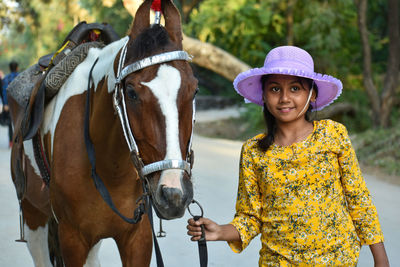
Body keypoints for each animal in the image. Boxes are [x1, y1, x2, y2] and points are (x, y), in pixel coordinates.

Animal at [7, 1, 198, 266]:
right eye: (131, 92)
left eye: (194, 90)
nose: (174, 193)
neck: (110, 168)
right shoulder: (73, 239)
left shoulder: (138, 237)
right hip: (33, 214)